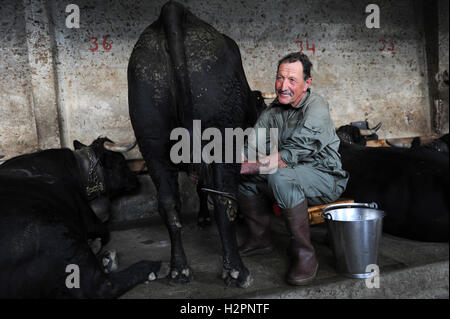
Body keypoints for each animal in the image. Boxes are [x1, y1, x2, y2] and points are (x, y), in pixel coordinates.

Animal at [0, 138, 167, 300]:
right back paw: (152, 267)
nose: (136, 178)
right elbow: (104, 231)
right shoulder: (88, 217)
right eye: (121, 162)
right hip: (61, 238)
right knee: (103, 287)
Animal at [126, 1, 260, 288]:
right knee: (223, 198)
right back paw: (236, 272)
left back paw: (179, 270)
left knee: (168, 203)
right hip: (222, 133)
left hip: (151, 136)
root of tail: (173, 11)